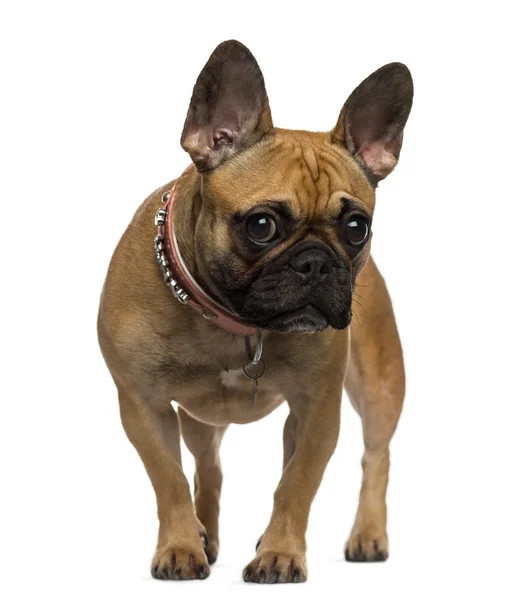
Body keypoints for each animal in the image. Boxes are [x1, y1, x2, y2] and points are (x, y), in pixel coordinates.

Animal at [98, 39, 412, 584]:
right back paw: (204, 536)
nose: (316, 262)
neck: (234, 323)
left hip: (378, 386)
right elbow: (169, 479)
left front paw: (280, 553)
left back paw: (368, 534)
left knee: (375, 455)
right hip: (200, 418)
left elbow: (296, 484)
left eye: (357, 228)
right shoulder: (142, 405)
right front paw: (181, 546)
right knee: (208, 468)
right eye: (261, 225)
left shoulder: (316, 407)